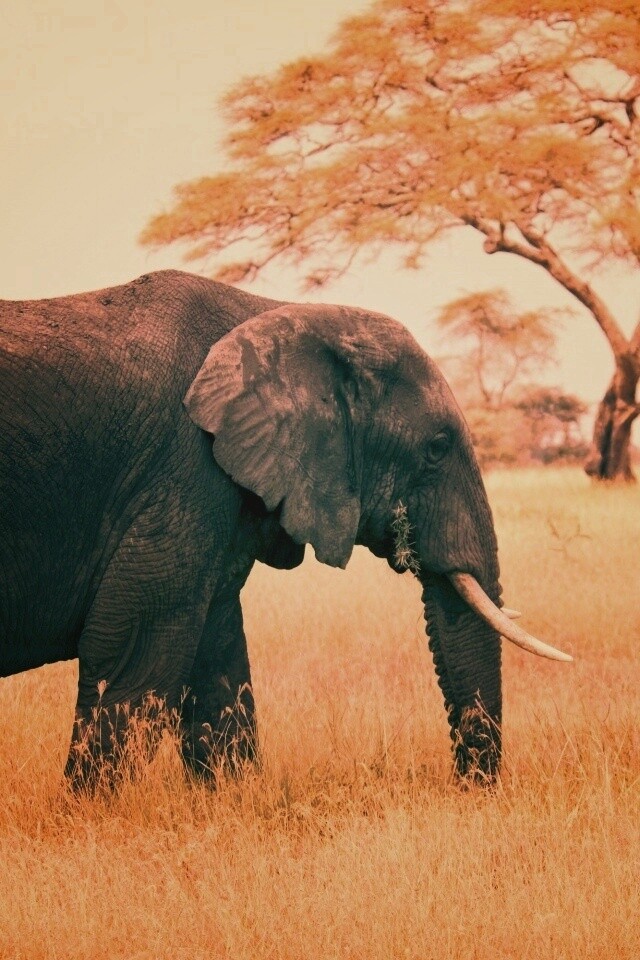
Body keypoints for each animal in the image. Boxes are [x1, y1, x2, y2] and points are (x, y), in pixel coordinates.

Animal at [0, 269, 571, 787]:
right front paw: (88, 811)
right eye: (435, 448)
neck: (280, 314)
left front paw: (231, 797)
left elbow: (217, 654)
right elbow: (134, 649)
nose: (469, 789)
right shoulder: (184, 468)